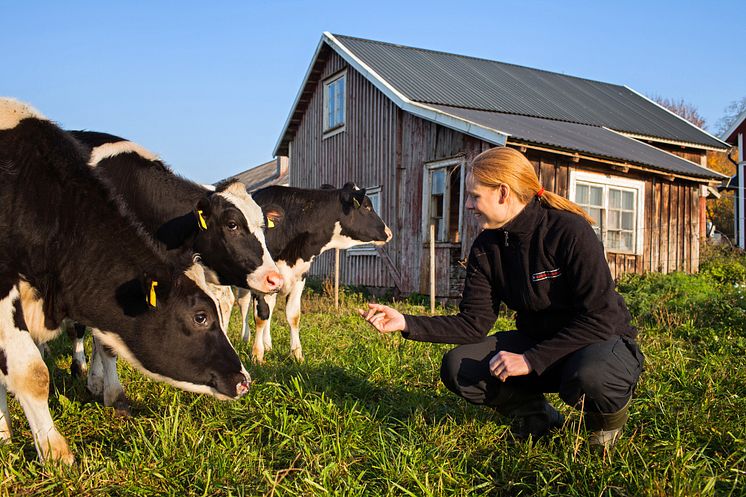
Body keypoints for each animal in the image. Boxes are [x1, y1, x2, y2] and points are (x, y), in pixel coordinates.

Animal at [65, 130, 282, 412]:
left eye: (263, 226)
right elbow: (103, 342)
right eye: (232, 224)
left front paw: (97, 384)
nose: (274, 278)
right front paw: (114, 395)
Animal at [238, 184, 392, 362]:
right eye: (367, 207)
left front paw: (297, 354)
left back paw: (268, 344)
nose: (389, 233)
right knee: (243, 305)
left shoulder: (299, 276)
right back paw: (245, 338)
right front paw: (257, 355)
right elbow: (261, 316)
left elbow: (293, 315)